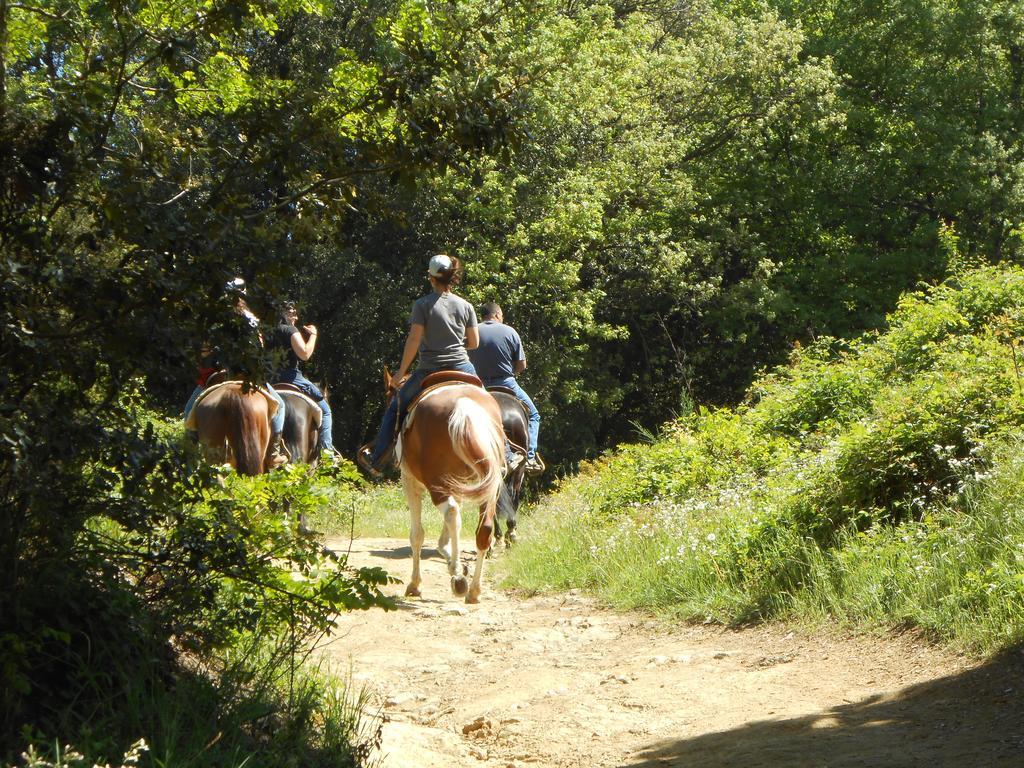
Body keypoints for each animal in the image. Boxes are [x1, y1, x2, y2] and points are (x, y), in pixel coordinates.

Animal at [385, 370, 505, 606]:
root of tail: (463, 406)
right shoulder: (458, 486)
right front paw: (452, 559)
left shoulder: (409, 481)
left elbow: (417, 535)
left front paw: (415, 584)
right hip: (487, 488)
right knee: (483, 529)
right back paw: (473, 590)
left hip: (436, 486)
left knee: (450, 513)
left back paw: (458, 579)